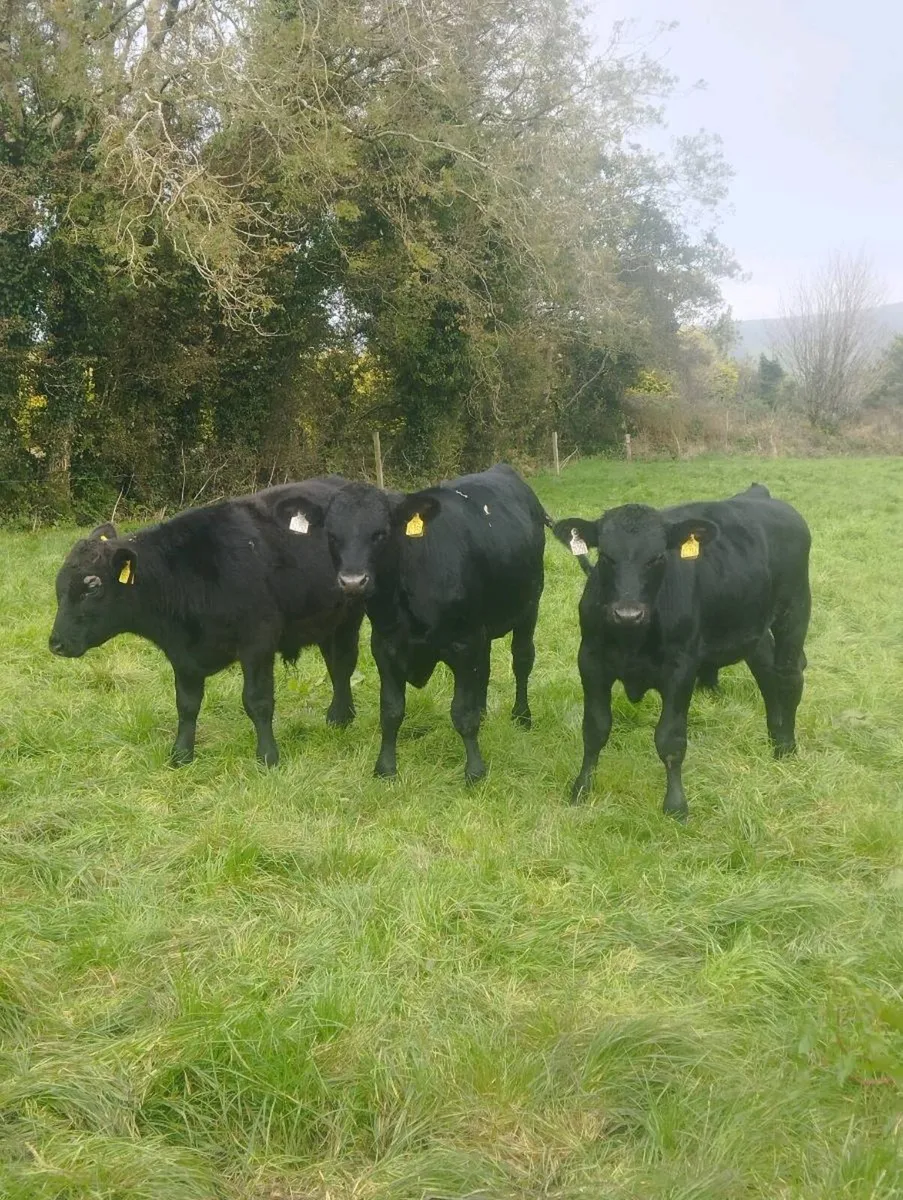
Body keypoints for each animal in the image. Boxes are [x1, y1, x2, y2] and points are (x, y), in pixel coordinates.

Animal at [48, 477, 365, 766]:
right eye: (59, 586)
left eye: (92, 586)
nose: (56, 644)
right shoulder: (182, 654)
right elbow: (186, 704)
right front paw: (181, 755)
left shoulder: (258, 643)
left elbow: (257, 701)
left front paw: (267, 756)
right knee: (334, 663)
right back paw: (339, 717)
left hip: (351, 615)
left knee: (343, 665)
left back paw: (340, 716)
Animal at [276, 463, 548, 783]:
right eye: (332, 535)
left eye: (380, 534)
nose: (352, 582)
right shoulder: (385, 646)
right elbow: (391, 711)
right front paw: (385, 768)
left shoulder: (464, 642)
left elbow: (462, 714)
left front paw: (475, 771)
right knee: (486, 667)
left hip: (529, 607)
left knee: (522, 660)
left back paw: (522, 715)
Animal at [553, 482, 810, 819]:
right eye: (606, 556)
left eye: (657, 556)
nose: (627, 613)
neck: (631, 639)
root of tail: (759, 495)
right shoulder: (590, 660)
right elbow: (595, 728)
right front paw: (581, 789)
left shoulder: (681, 667)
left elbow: (670, 739)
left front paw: (675, 806)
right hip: (752, 626)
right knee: (766, 670)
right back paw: (776, 737)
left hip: (795, 610)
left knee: (789, 675)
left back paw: (787, 749)